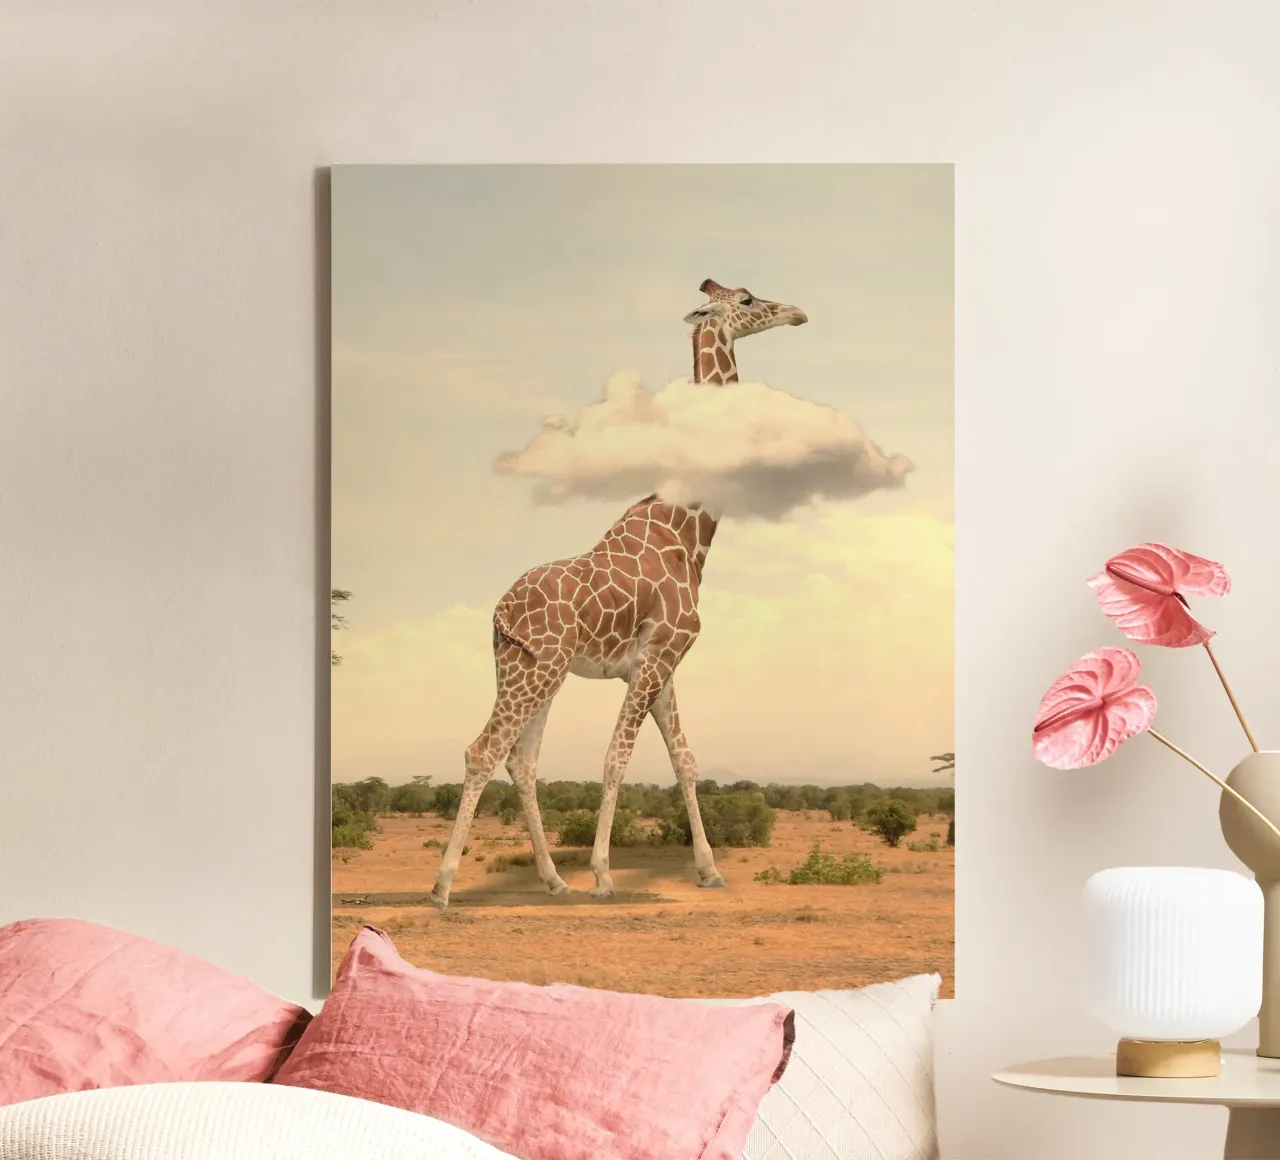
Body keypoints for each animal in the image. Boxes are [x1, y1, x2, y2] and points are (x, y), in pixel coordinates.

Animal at [427, 279, 808, 910]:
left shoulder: (660, 664)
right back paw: (442, 886)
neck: (688, 531)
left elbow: (685, 759)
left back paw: (553, 881)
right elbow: (616, 758)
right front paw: (604, 875)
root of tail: (499, 614)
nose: (797, 313)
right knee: (484, 750)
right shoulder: (658, 657)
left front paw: (708, 870)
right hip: (539, 670)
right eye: (749, 300)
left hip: (528, 669)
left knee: (521, 761)